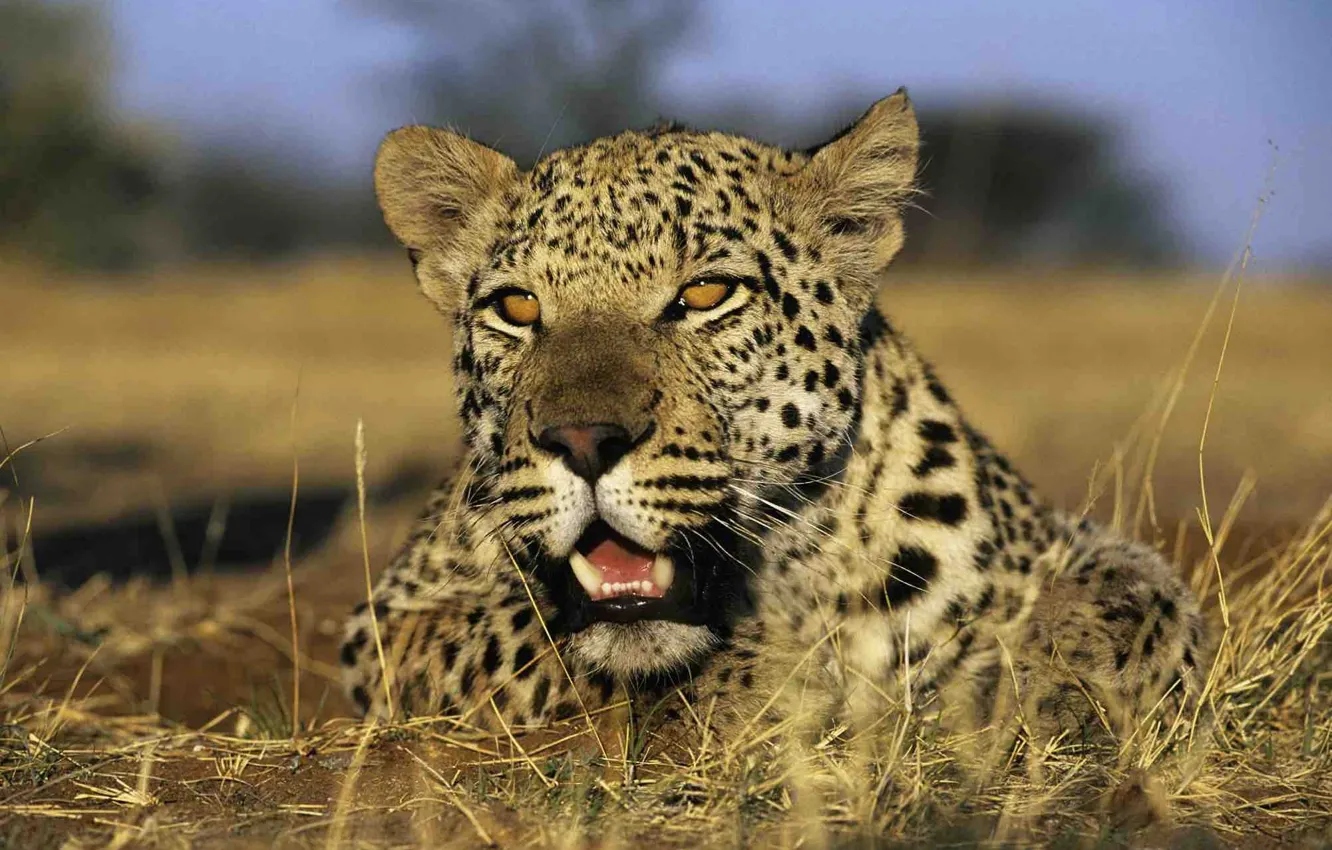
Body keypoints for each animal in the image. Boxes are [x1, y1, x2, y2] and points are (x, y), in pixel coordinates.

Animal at [339, 90, 1210, 763]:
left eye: (704, 294)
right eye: (516, 308)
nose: (583, 442)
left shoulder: (1050, 540)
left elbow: (1139, 595)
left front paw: (1063, 685)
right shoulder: (384, 627)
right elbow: (515, 634)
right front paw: (770, 679)